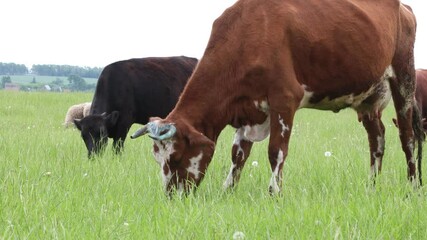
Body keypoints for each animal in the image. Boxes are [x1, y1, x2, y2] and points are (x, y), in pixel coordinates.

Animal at [132, 0, 422, 195]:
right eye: (158, 159)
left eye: (175, 158)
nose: (172, 197)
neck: (248, 34)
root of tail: (403, 7)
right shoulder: (246, 108)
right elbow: (238, 154)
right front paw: (228, 191)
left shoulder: (284, 99)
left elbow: (276, 151)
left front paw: (274, 193)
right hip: (368, 98)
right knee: (377, 140)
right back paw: (371, 186)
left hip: (404, 77)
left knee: (407, 137)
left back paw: (413, 186)